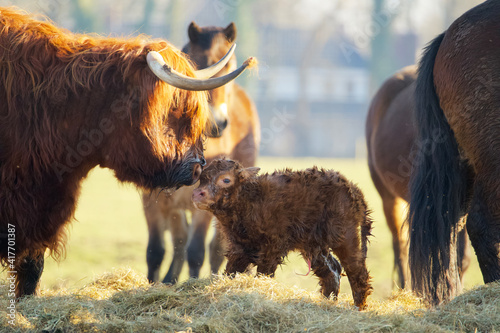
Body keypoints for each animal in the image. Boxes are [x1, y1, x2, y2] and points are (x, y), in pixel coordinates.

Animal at [143, 22, 262, 282]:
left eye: (229, 66)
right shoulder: (154, 200)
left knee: (215, 248)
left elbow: (196, 251)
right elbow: (156, 251)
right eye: (196, 63)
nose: (217, 124)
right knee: (179, 241)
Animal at [193, 157, 374, 308]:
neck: (250, 199)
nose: (197, 194)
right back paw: (327, 303)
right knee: (332, 271)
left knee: (357, 271)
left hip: (345, 237)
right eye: (202, 178)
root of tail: (353, 189)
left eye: (226, 179)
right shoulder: (239, 249)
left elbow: (263, 274)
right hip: (314, 246)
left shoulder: (272, 248)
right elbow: (230, 272)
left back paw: (358, 308)